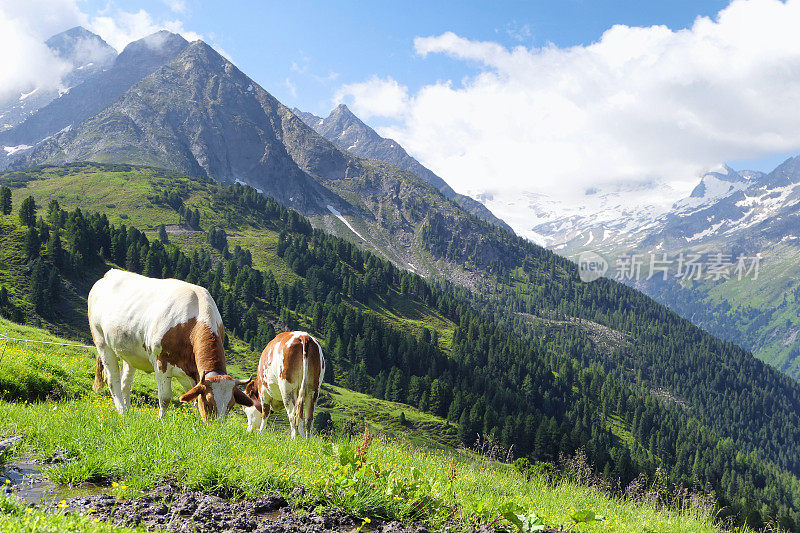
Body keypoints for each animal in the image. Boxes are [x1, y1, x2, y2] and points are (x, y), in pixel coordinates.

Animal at [87, 268, 252, 418]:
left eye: (230, 405)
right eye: (208, 403)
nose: (216, 427)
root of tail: (110, 273)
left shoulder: (192, 373)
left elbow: (193, 399)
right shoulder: (161, 361)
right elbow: (165, 397)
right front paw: (161, 421)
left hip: (129, 352)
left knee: (125, 382)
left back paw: (127, 412)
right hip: (102, 342)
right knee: (112, 379)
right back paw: (121, 411)